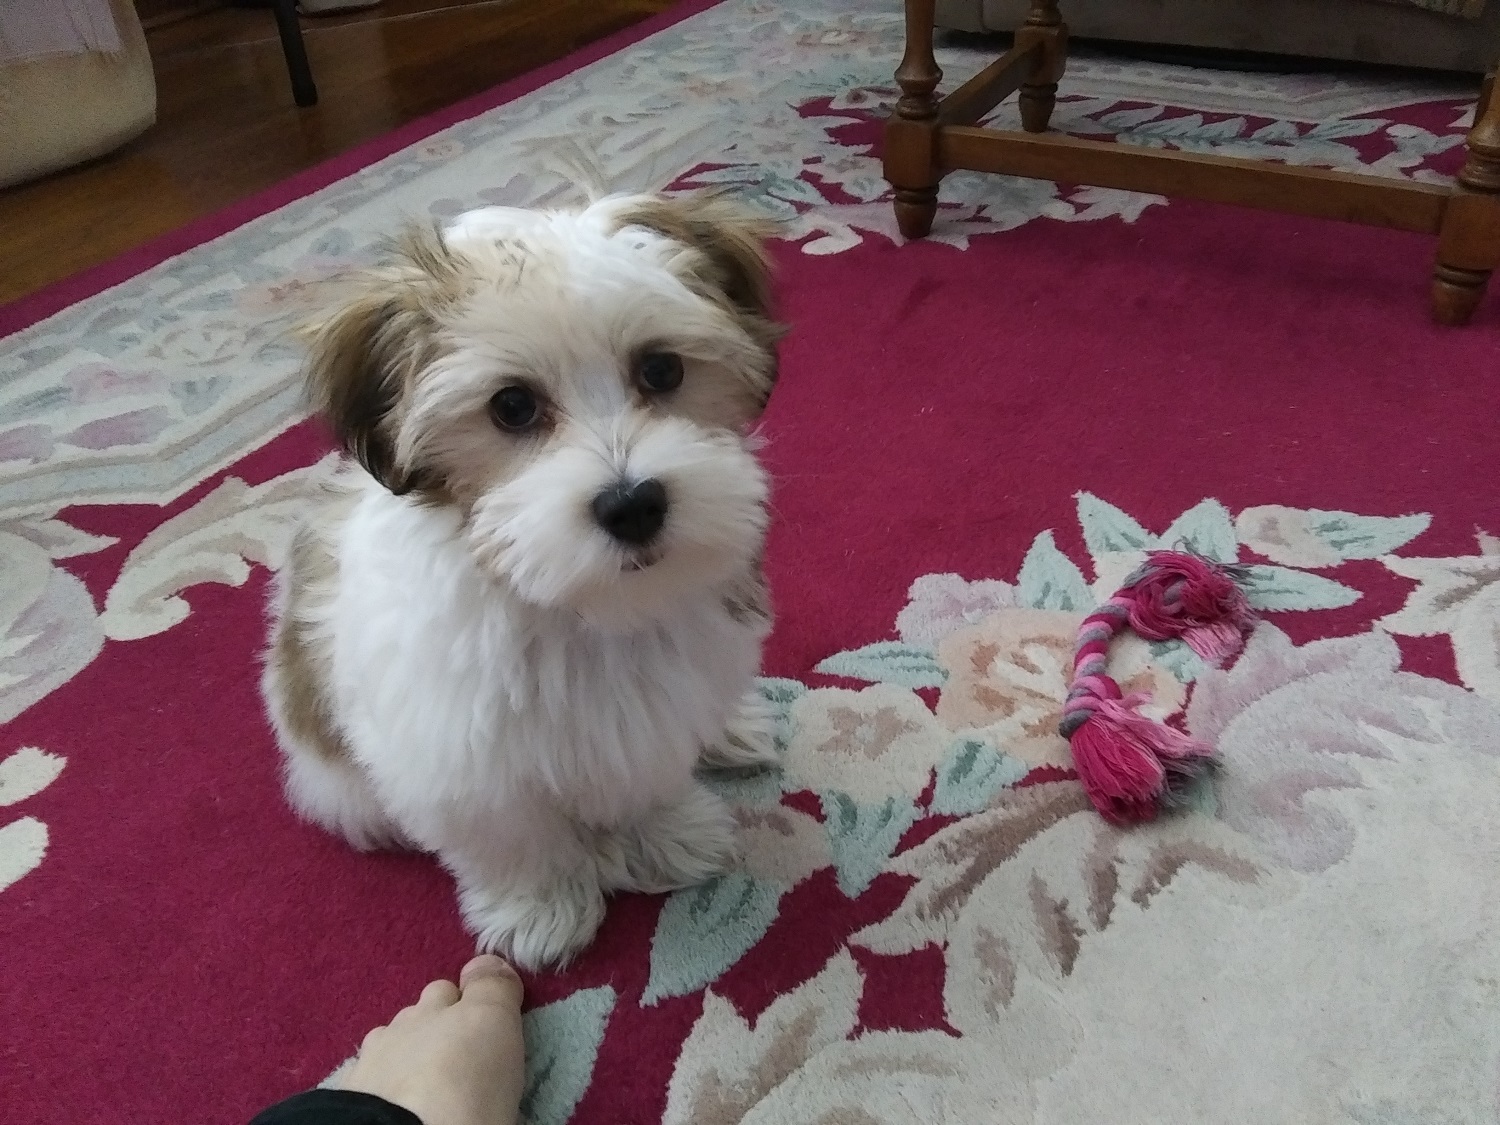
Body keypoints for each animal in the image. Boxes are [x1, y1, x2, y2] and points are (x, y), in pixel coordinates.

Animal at [258, 193, 780, 972]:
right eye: (511, 406)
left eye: (661, 370)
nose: (633, 504)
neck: (574, 599)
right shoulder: (455, 754)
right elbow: (508, 832)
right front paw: (541, 906)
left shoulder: (650, 709)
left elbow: (647, 769)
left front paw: (665, 835)